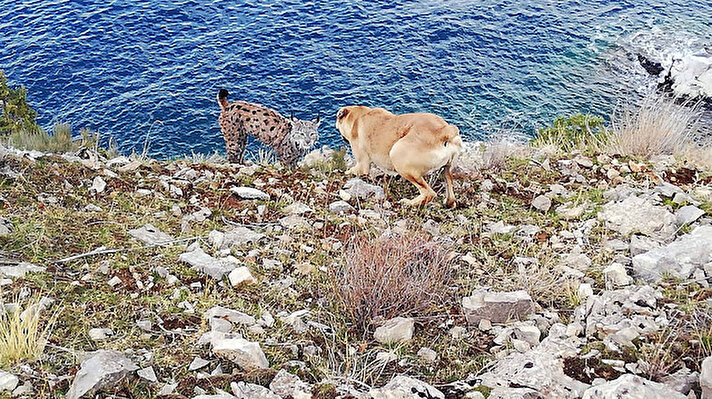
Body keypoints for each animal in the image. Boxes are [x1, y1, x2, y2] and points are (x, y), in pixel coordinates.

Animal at [336, 106, 464, 208]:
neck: (358, 116)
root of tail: (443, 131)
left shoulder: (362, 165)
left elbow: (352, 170)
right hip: (448, 168)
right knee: (449, 186)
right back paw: (449, 203)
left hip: (399, 158)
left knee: (428, 193)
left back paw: (409, 203)